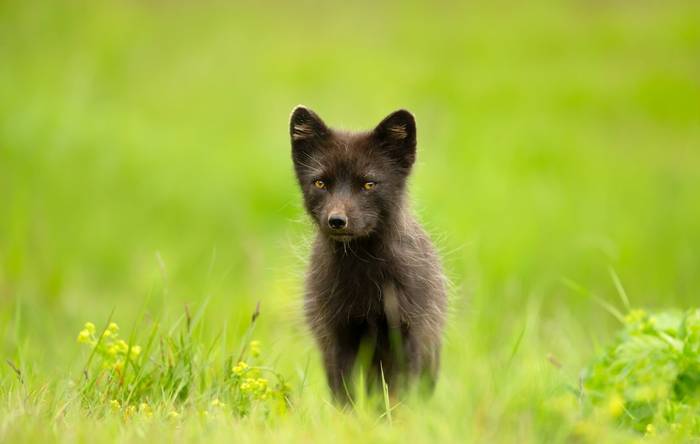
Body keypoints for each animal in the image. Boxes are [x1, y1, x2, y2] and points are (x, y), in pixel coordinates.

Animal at [289, 106, 447, 402]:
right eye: (320, 183)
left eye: (368, 185)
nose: (336, 221)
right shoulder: (337, 335)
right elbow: (345, 394)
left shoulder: (408, 334)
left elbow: (400, 394)